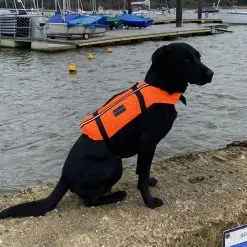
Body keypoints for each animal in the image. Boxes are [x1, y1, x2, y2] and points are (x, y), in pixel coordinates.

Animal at [0, 42, 213, 218]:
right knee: (88, 201)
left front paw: (150, 182)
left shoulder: (146, 147)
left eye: (199, 56)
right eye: (186, 60)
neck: (159, 87)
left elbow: (142, 170)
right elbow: (142, 176)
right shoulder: (148, 141)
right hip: (114, 162)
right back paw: (118, 194)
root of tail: (64, 177)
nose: (211, 74)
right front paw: (150, 202)